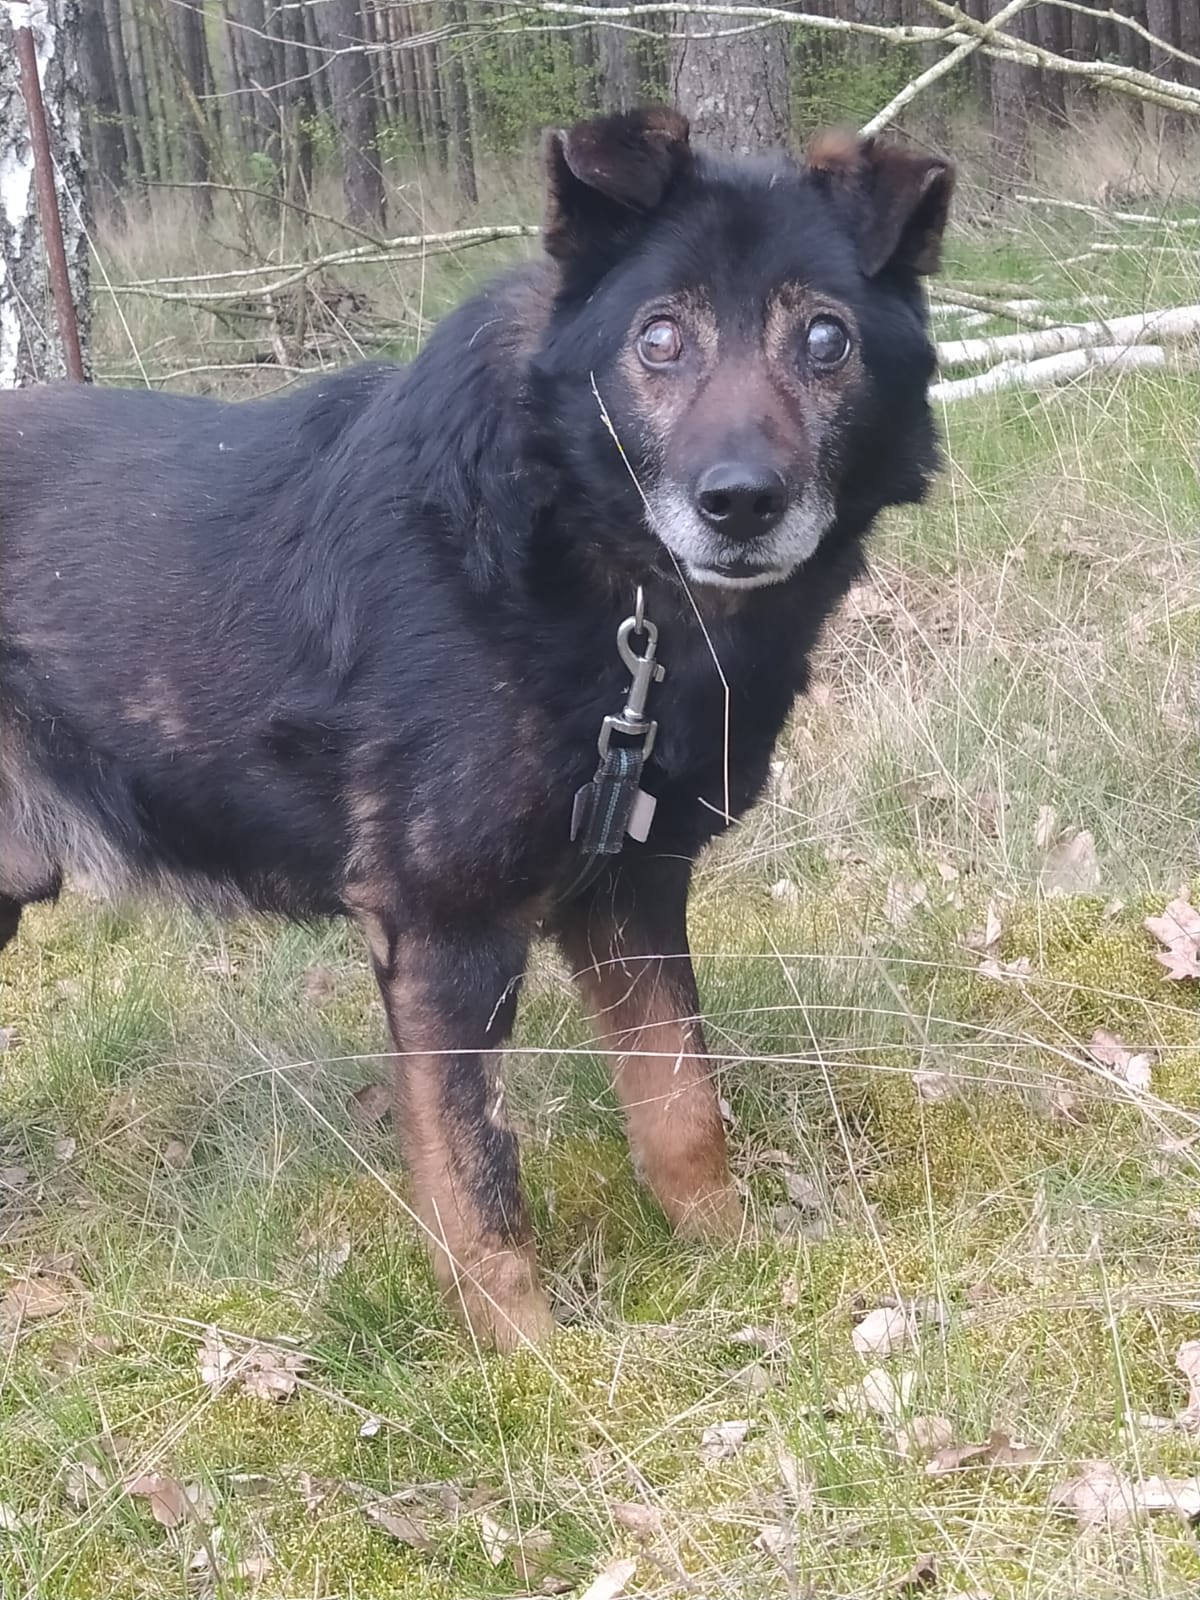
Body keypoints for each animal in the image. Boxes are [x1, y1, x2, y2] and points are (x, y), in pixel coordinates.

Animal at [0, 107, 952, 1348]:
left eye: (827, 339)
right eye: (659, 339)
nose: (740, 503)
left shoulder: (634, 890)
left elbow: (682, 1105)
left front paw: (732, 1262)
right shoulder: (445, 931)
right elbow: (479, 1176)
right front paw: (529, 1361)